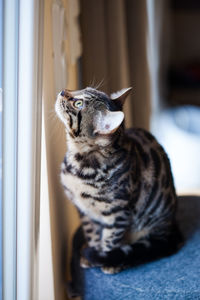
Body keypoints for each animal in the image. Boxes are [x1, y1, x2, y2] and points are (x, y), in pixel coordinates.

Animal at [55, 86, 183, 274]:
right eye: (84, 88)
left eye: (78, 104)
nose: (63, 91)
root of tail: (171, 228)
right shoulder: (85, 212)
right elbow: (92, 234)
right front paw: (92, 255)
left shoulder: (118, 212)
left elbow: (110, 240)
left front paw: (107, 260)